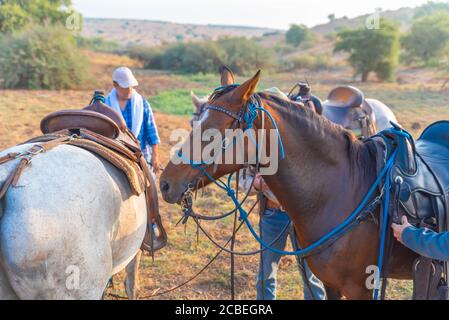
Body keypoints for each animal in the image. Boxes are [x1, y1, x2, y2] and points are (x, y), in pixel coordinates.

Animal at [158, 68, 416, 300]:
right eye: (193, 123)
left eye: (212, 131)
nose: (165, 184)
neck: (343, 190)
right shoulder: (331, 283)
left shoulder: (360, 288)